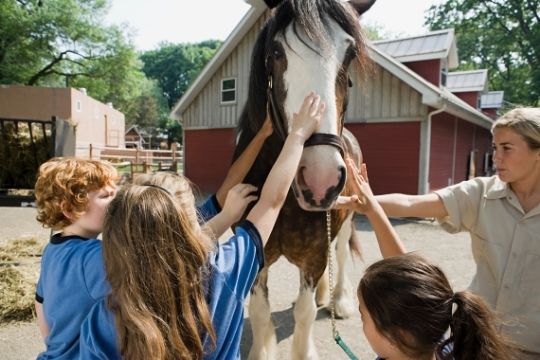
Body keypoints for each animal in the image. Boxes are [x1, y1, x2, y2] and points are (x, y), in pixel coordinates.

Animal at [232, 1, 376, 358]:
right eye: (276, 51)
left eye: (349, 54)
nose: (320, 179)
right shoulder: (258, 252)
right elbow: (260, 310)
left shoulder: (314, 254)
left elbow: (305, 313)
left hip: (348, 219)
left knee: (340, 254)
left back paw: (339, 301)